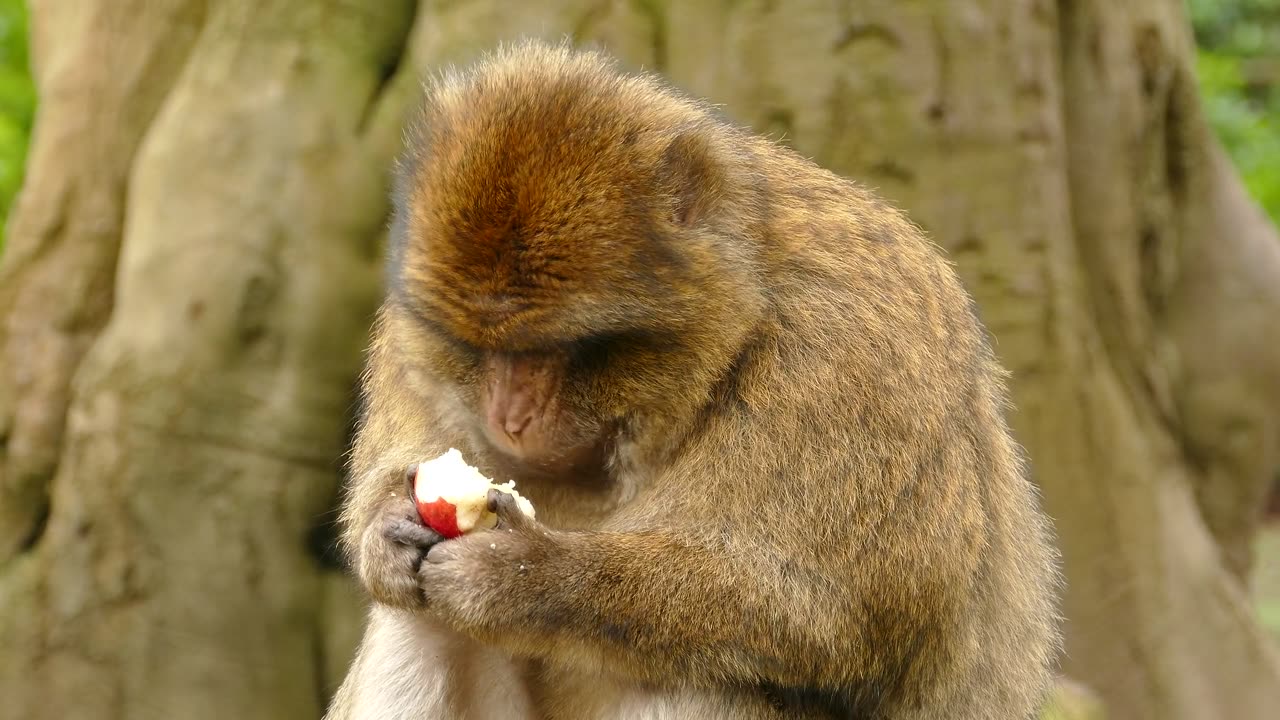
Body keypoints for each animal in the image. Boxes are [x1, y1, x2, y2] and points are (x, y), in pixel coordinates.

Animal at [327, 40, 1059, 717]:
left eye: (562, 347)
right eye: (475, 347)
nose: (509, 418)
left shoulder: (852, 353)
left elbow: (837, 617)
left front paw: (526, 577)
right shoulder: (405, 343)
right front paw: (388, 531)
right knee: (415, 618)